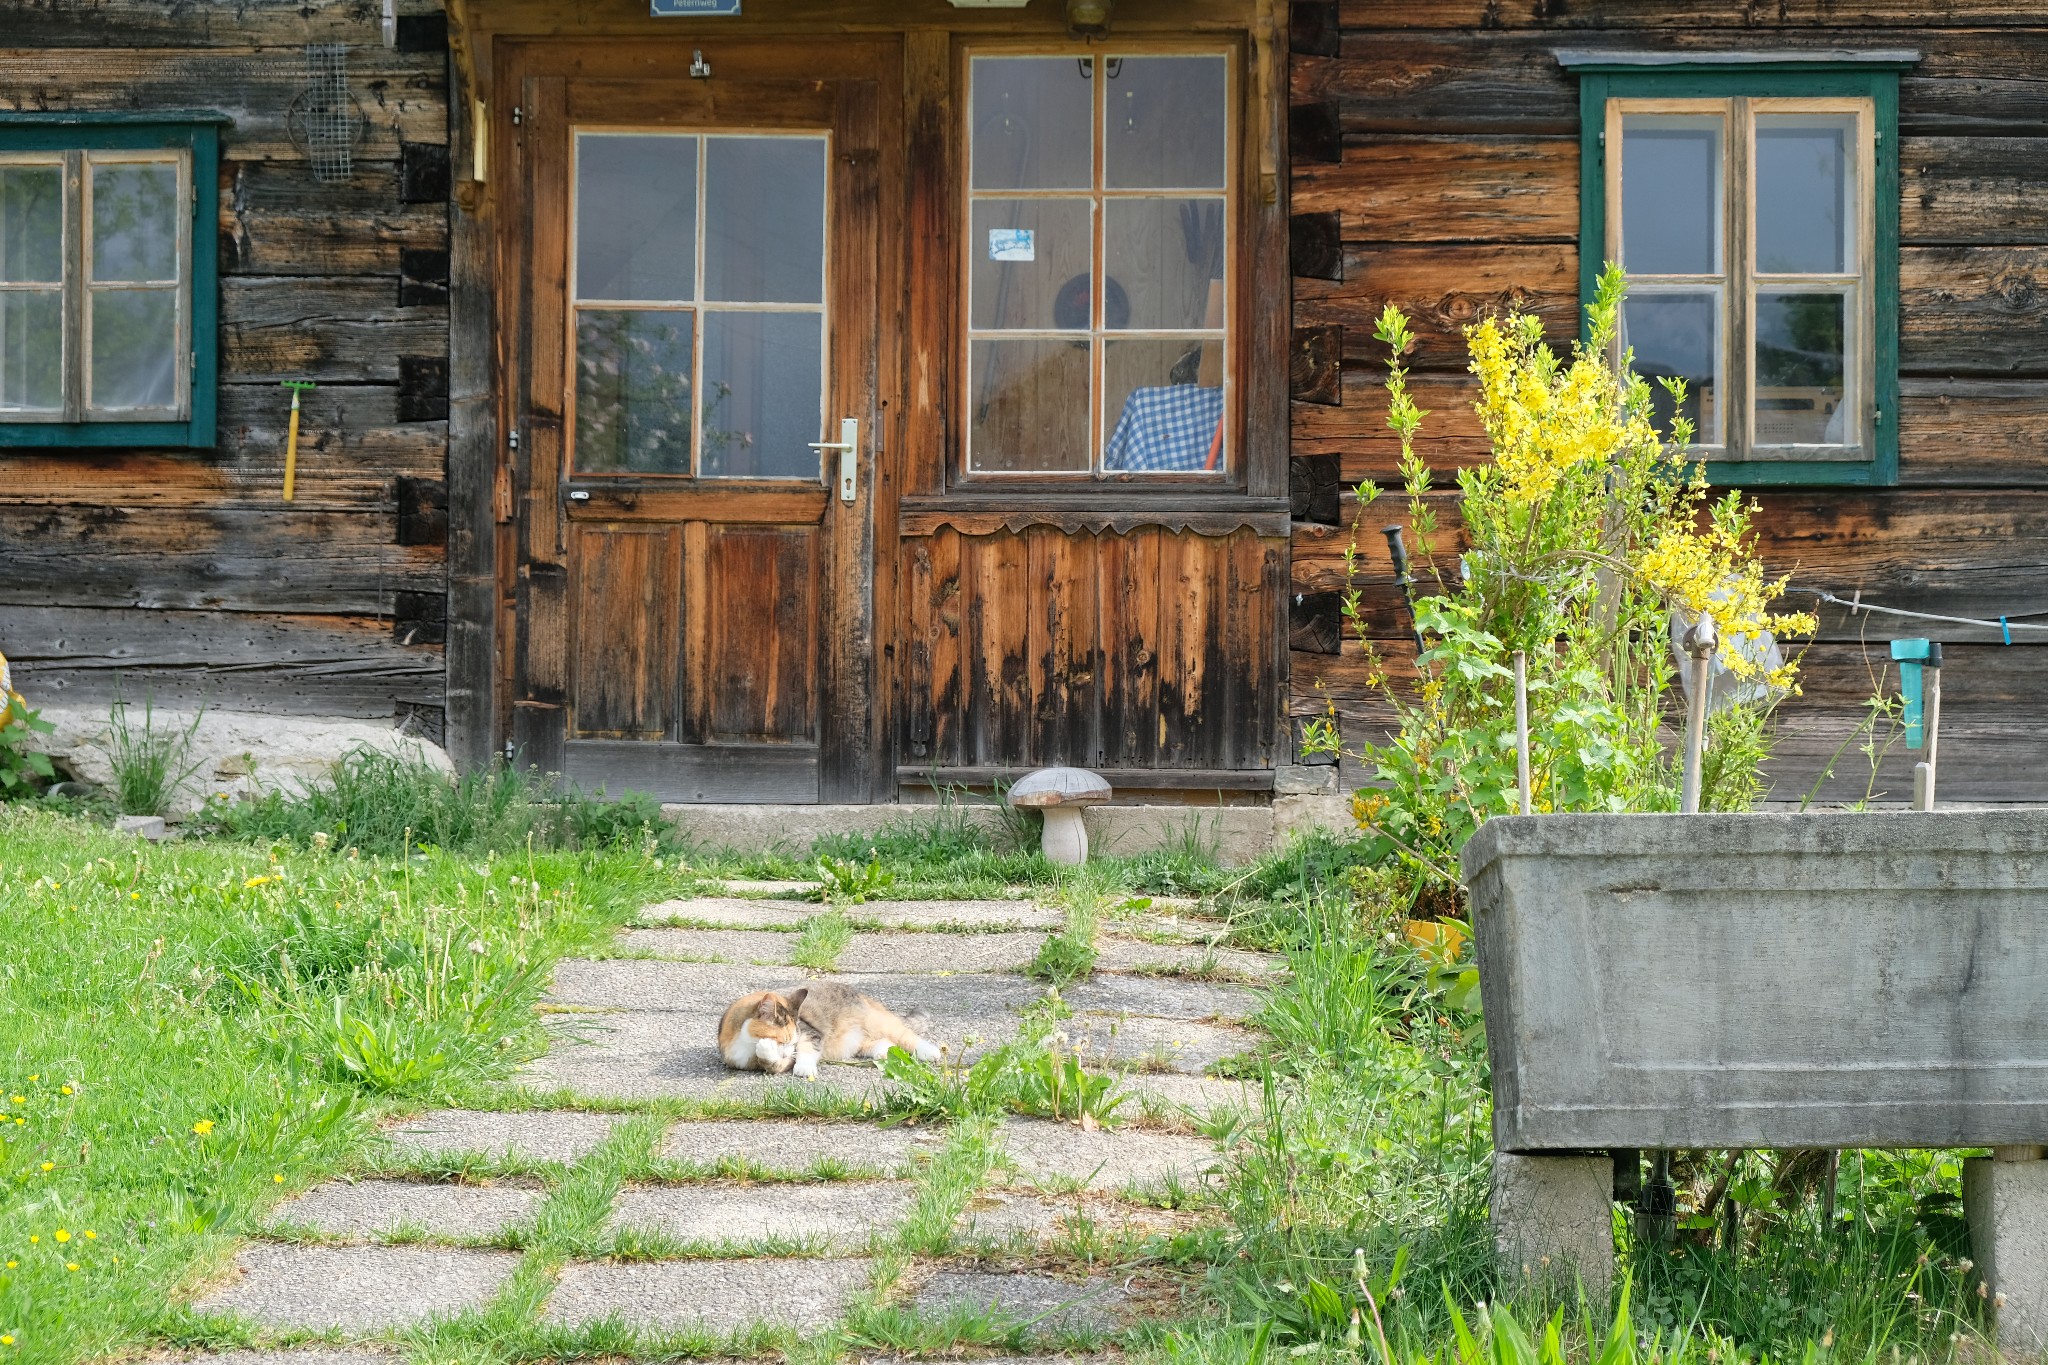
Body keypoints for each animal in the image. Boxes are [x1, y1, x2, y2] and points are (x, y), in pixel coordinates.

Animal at [720, 982, 942, 1080]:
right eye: (783, 1040)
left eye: (792, 1041)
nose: (791, 1051)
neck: (743, 1044)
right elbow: (771, 1063)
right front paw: (767, 1051)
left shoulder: (809, 1031)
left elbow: (808, 1048)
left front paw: (804, 1067)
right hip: (858, 1040)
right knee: (879, 1042)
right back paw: (883, 1052)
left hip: (877, 1022)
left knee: (906, 1035)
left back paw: (930, 1052)